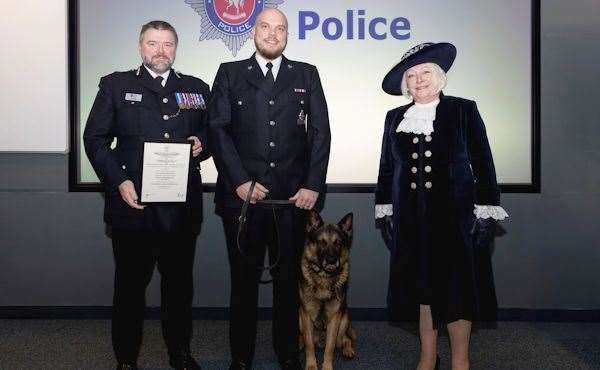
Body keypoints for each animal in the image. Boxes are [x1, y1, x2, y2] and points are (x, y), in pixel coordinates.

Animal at [300, 211, 356, 370]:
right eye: (322, 242)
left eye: (338, 243)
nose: (331, 260)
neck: (324, 278)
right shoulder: (306, 316)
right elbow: (309, 345)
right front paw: (311, 366)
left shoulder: (335, 319)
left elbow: (329, 348)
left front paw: (326, 366)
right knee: (304, 338)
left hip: (343, 320)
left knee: (346, 339)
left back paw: (348, 350)